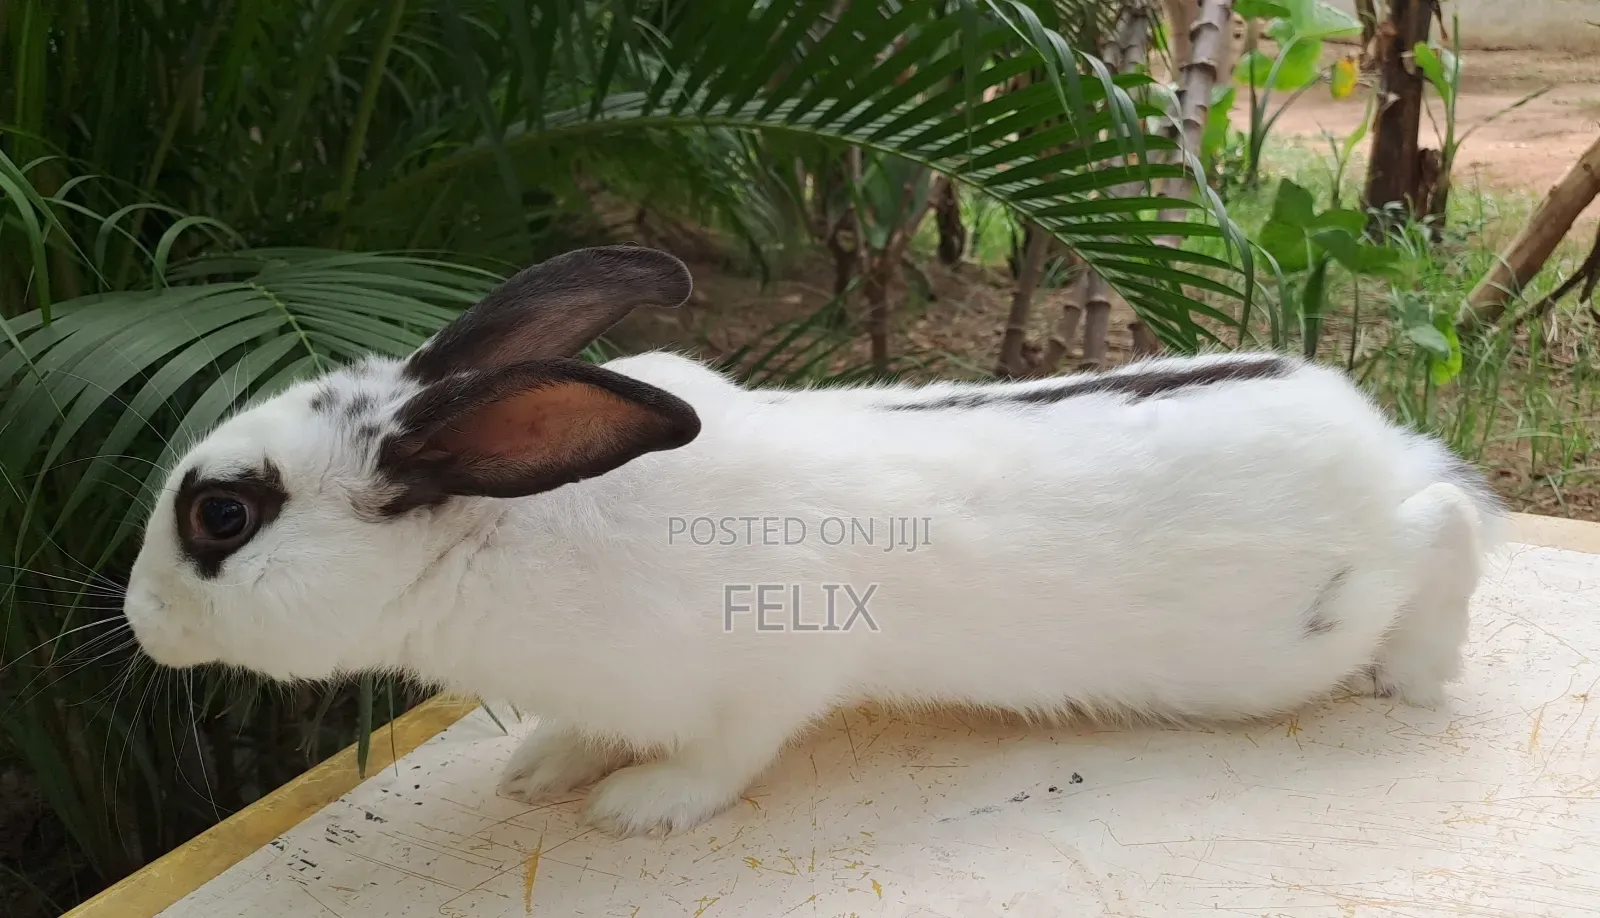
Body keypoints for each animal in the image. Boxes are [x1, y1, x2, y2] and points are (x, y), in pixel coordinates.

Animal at [123, 244, 1506, 838]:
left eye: (222, 515)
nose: (138, 619)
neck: (501, 534)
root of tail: (1374, 438)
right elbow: (582, 732)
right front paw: (542, 771)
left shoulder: (766, 673)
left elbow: (722, 760)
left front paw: (636, 808)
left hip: (1304, 628)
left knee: (1442, 530)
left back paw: (1417, 676)